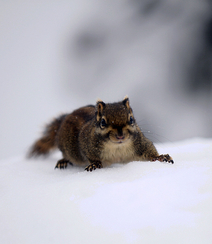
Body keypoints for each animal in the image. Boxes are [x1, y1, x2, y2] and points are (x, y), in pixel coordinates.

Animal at [28, 96, 174, 172]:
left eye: (131, 119)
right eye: (103, 122)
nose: (120, 135)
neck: (118, 147)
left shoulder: (141, 144)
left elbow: (150, 152)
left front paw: (161, 157)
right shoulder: (86, 143)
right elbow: (90, 156)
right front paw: (95, 164)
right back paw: (63, 161)